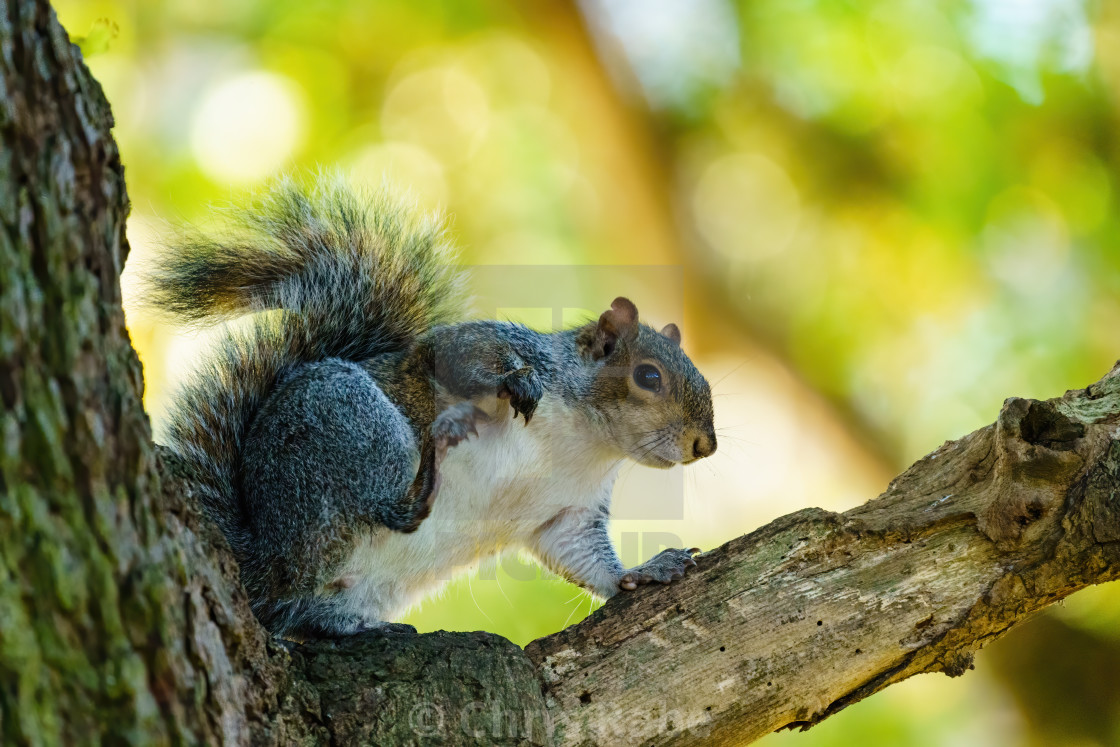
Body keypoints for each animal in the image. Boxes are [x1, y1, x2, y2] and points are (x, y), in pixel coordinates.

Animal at [148, 176, 716, 645]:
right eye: (648, 376)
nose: (705, 444)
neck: (584, 443)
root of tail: (262, 557)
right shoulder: (488, 347)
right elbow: (457, 356)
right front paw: (514, 383)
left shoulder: (569, 513)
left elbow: (586, 558)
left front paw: (644, 570)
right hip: (352, 425)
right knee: (379, 507)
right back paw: (428, 473)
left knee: (303, 613)